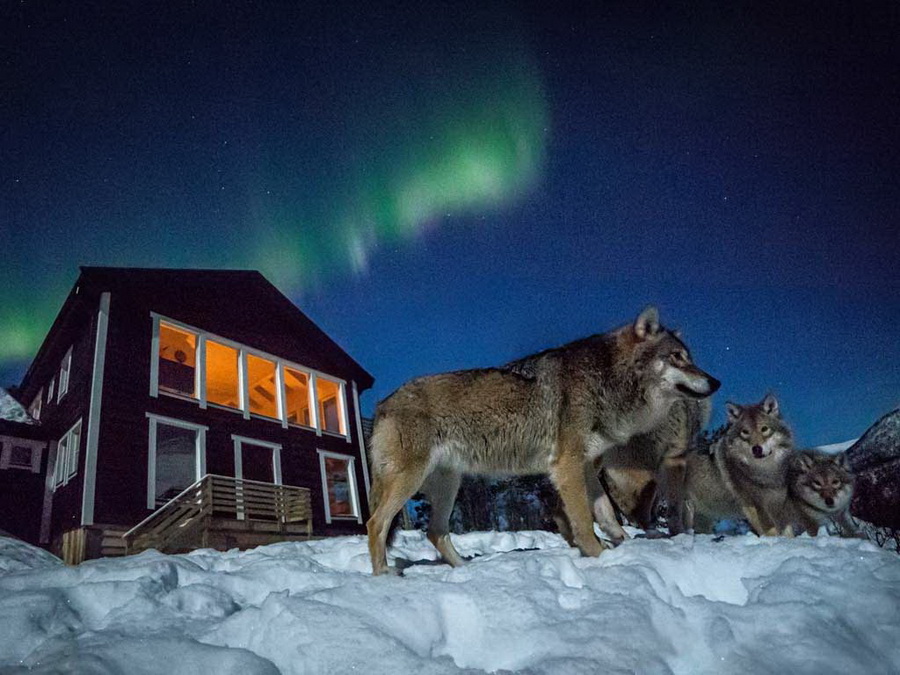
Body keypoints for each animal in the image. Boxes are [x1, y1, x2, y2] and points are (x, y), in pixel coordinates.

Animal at [362, 306, 720, 576]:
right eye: (677, 357)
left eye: (689, 357)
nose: (715, 382)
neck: (607, 380)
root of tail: (382, 405)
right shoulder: (567, 467)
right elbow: (583, 521)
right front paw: (597, 555)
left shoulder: (587, 467)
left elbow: (606, 513)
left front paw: (622, 547)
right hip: (410, 481)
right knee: (375, 523)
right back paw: (385, 577)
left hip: (449, 485)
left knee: (435, 532)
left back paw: (465, 569)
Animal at [684, 394, 792, 536]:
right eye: (745, 432)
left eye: (764, 429)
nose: (756, 449)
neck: (765, 471)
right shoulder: (755, 505)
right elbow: (771, 532)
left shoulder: (779, 504)